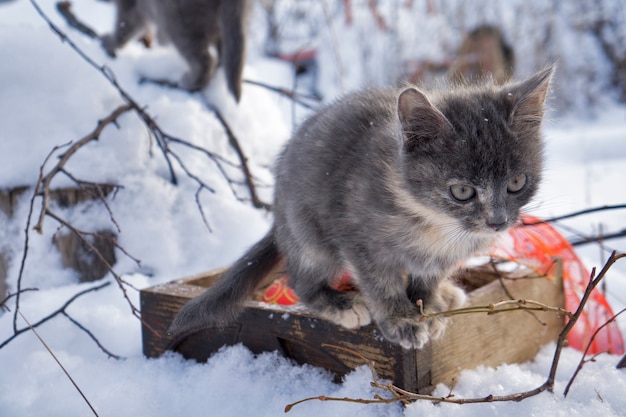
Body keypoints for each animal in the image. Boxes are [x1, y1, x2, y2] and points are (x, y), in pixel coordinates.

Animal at [102, 0, 249, 101]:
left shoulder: (132, 4)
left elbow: (126, 24)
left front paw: (110, 42)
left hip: (175, 16)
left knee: (205, 61)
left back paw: (190, 82)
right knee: (224, 52)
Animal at [167, 66, 552, 350]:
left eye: (517, 182)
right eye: (462, 191)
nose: (498, 222)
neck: (434, 222)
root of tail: (277, 217)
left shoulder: (443, 255)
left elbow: (427, 278)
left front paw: (429, 306)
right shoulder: (357, 235)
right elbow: (381, 282)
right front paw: (402, 320)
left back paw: (447, 294)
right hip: (309, 233)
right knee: (301, 277)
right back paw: (339, 303)